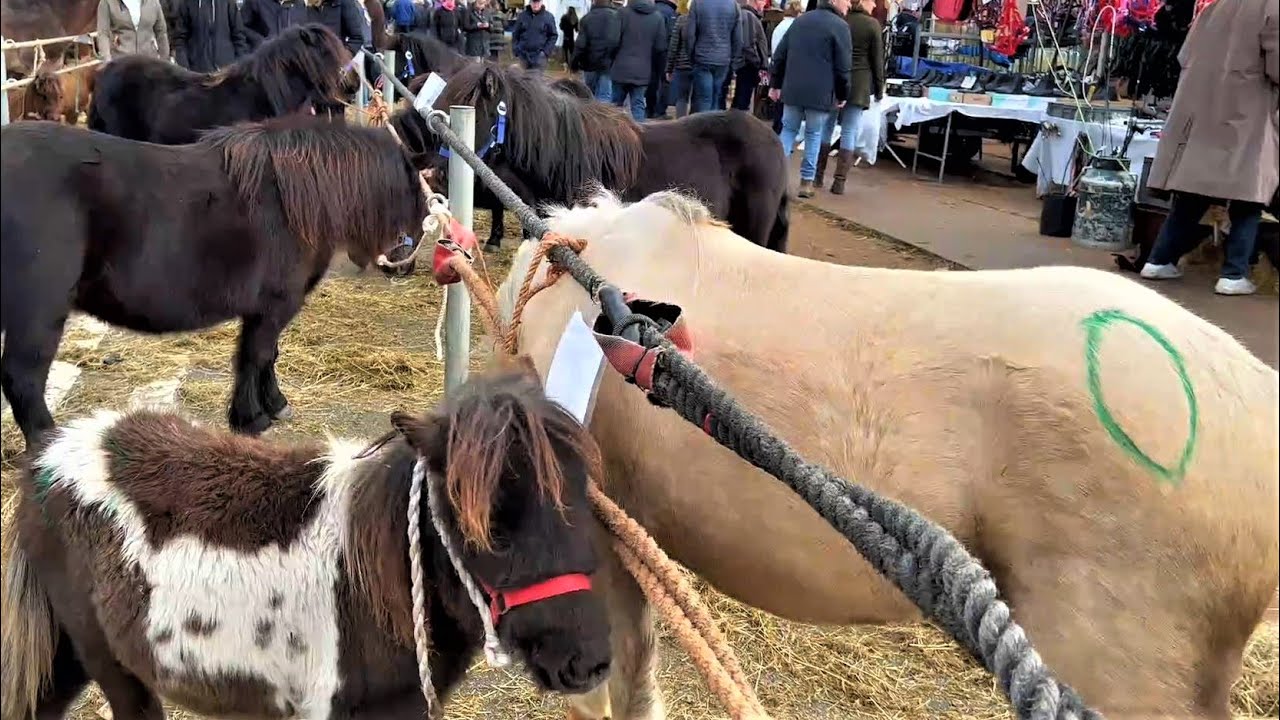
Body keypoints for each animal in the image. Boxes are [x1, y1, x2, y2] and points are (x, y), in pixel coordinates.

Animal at [0, 116, 427, 453]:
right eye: (420, 189)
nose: (405, 260)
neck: (292, 199)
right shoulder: (275, 305)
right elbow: (254, 356)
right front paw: (250, 418)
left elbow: (267, 356)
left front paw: (274, 404)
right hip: (38, 317)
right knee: (23, 381)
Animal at [0, 362, 612, 720]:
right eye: (492, 530)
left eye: (585, 503)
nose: (589, 664)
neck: (374, 591)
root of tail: (49, 457)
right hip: (111, 666)